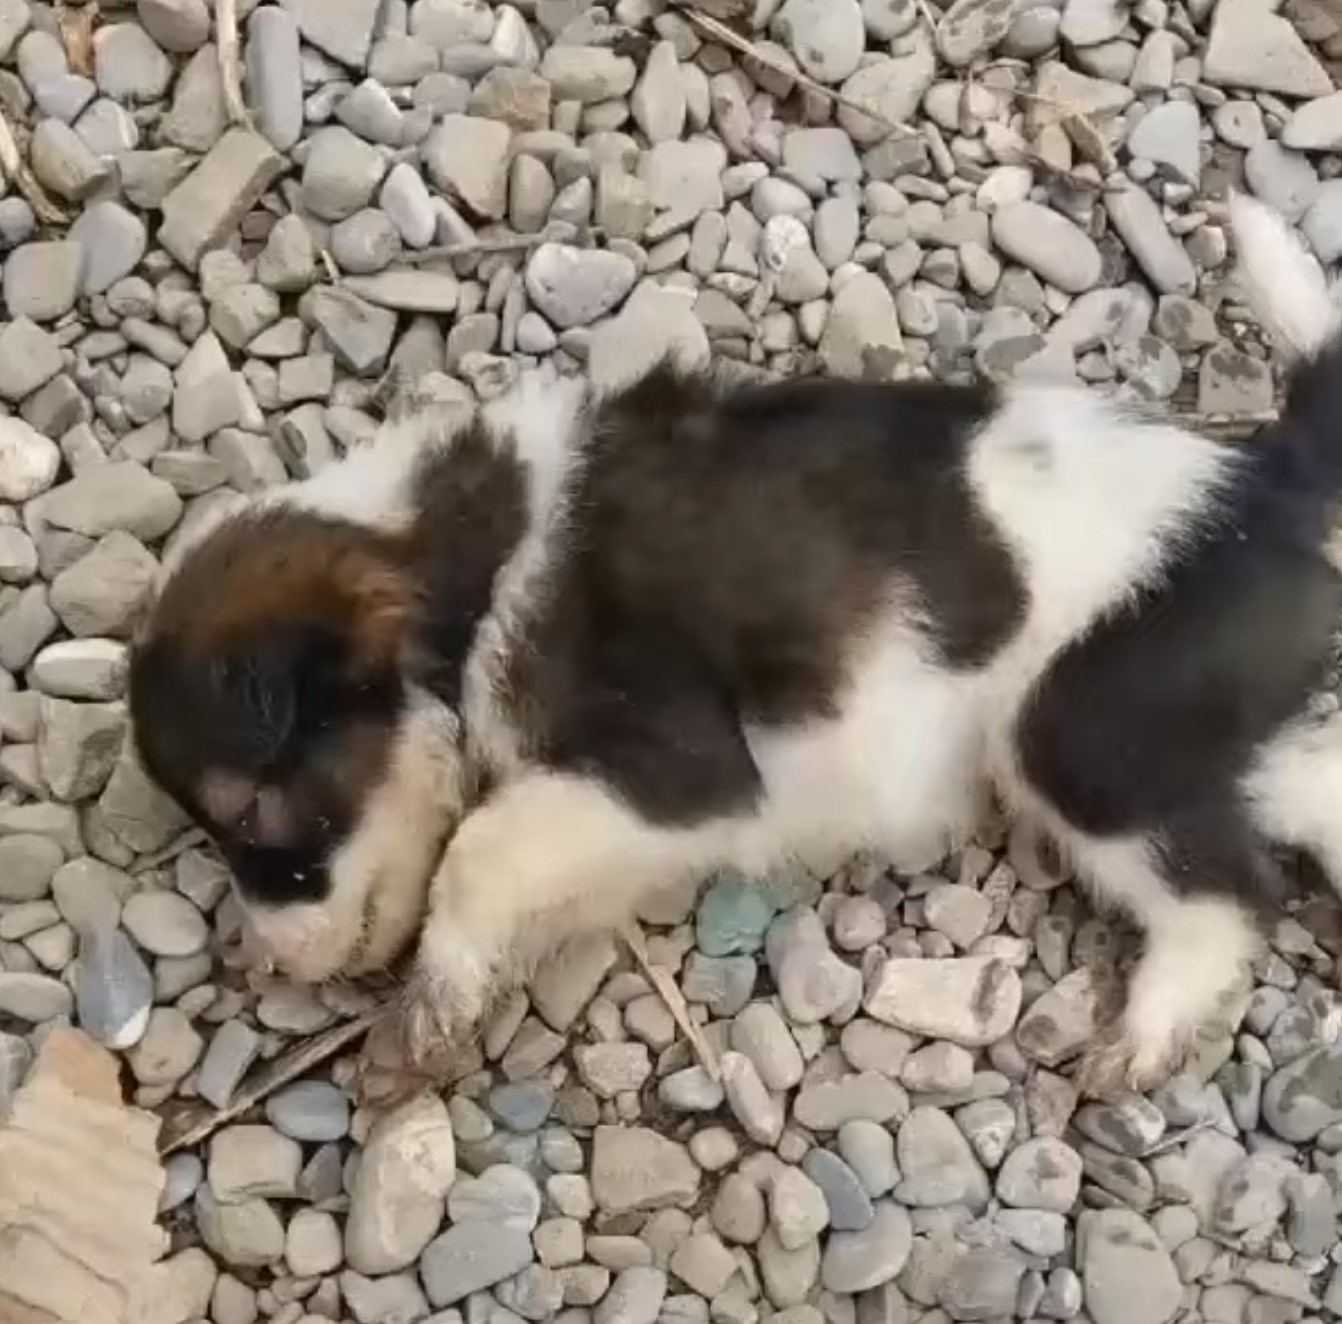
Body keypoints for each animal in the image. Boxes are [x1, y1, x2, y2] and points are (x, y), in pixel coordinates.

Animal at [130, 191, 1342, 1094]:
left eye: (254, 813)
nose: (270, 967)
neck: (465, 560)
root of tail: (1265, 483)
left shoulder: (680, 773)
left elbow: (481, 847)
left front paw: (434, 1007)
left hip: (1077, 736)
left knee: (1233, 894)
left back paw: (1148, 1030)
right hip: (1174, 727)